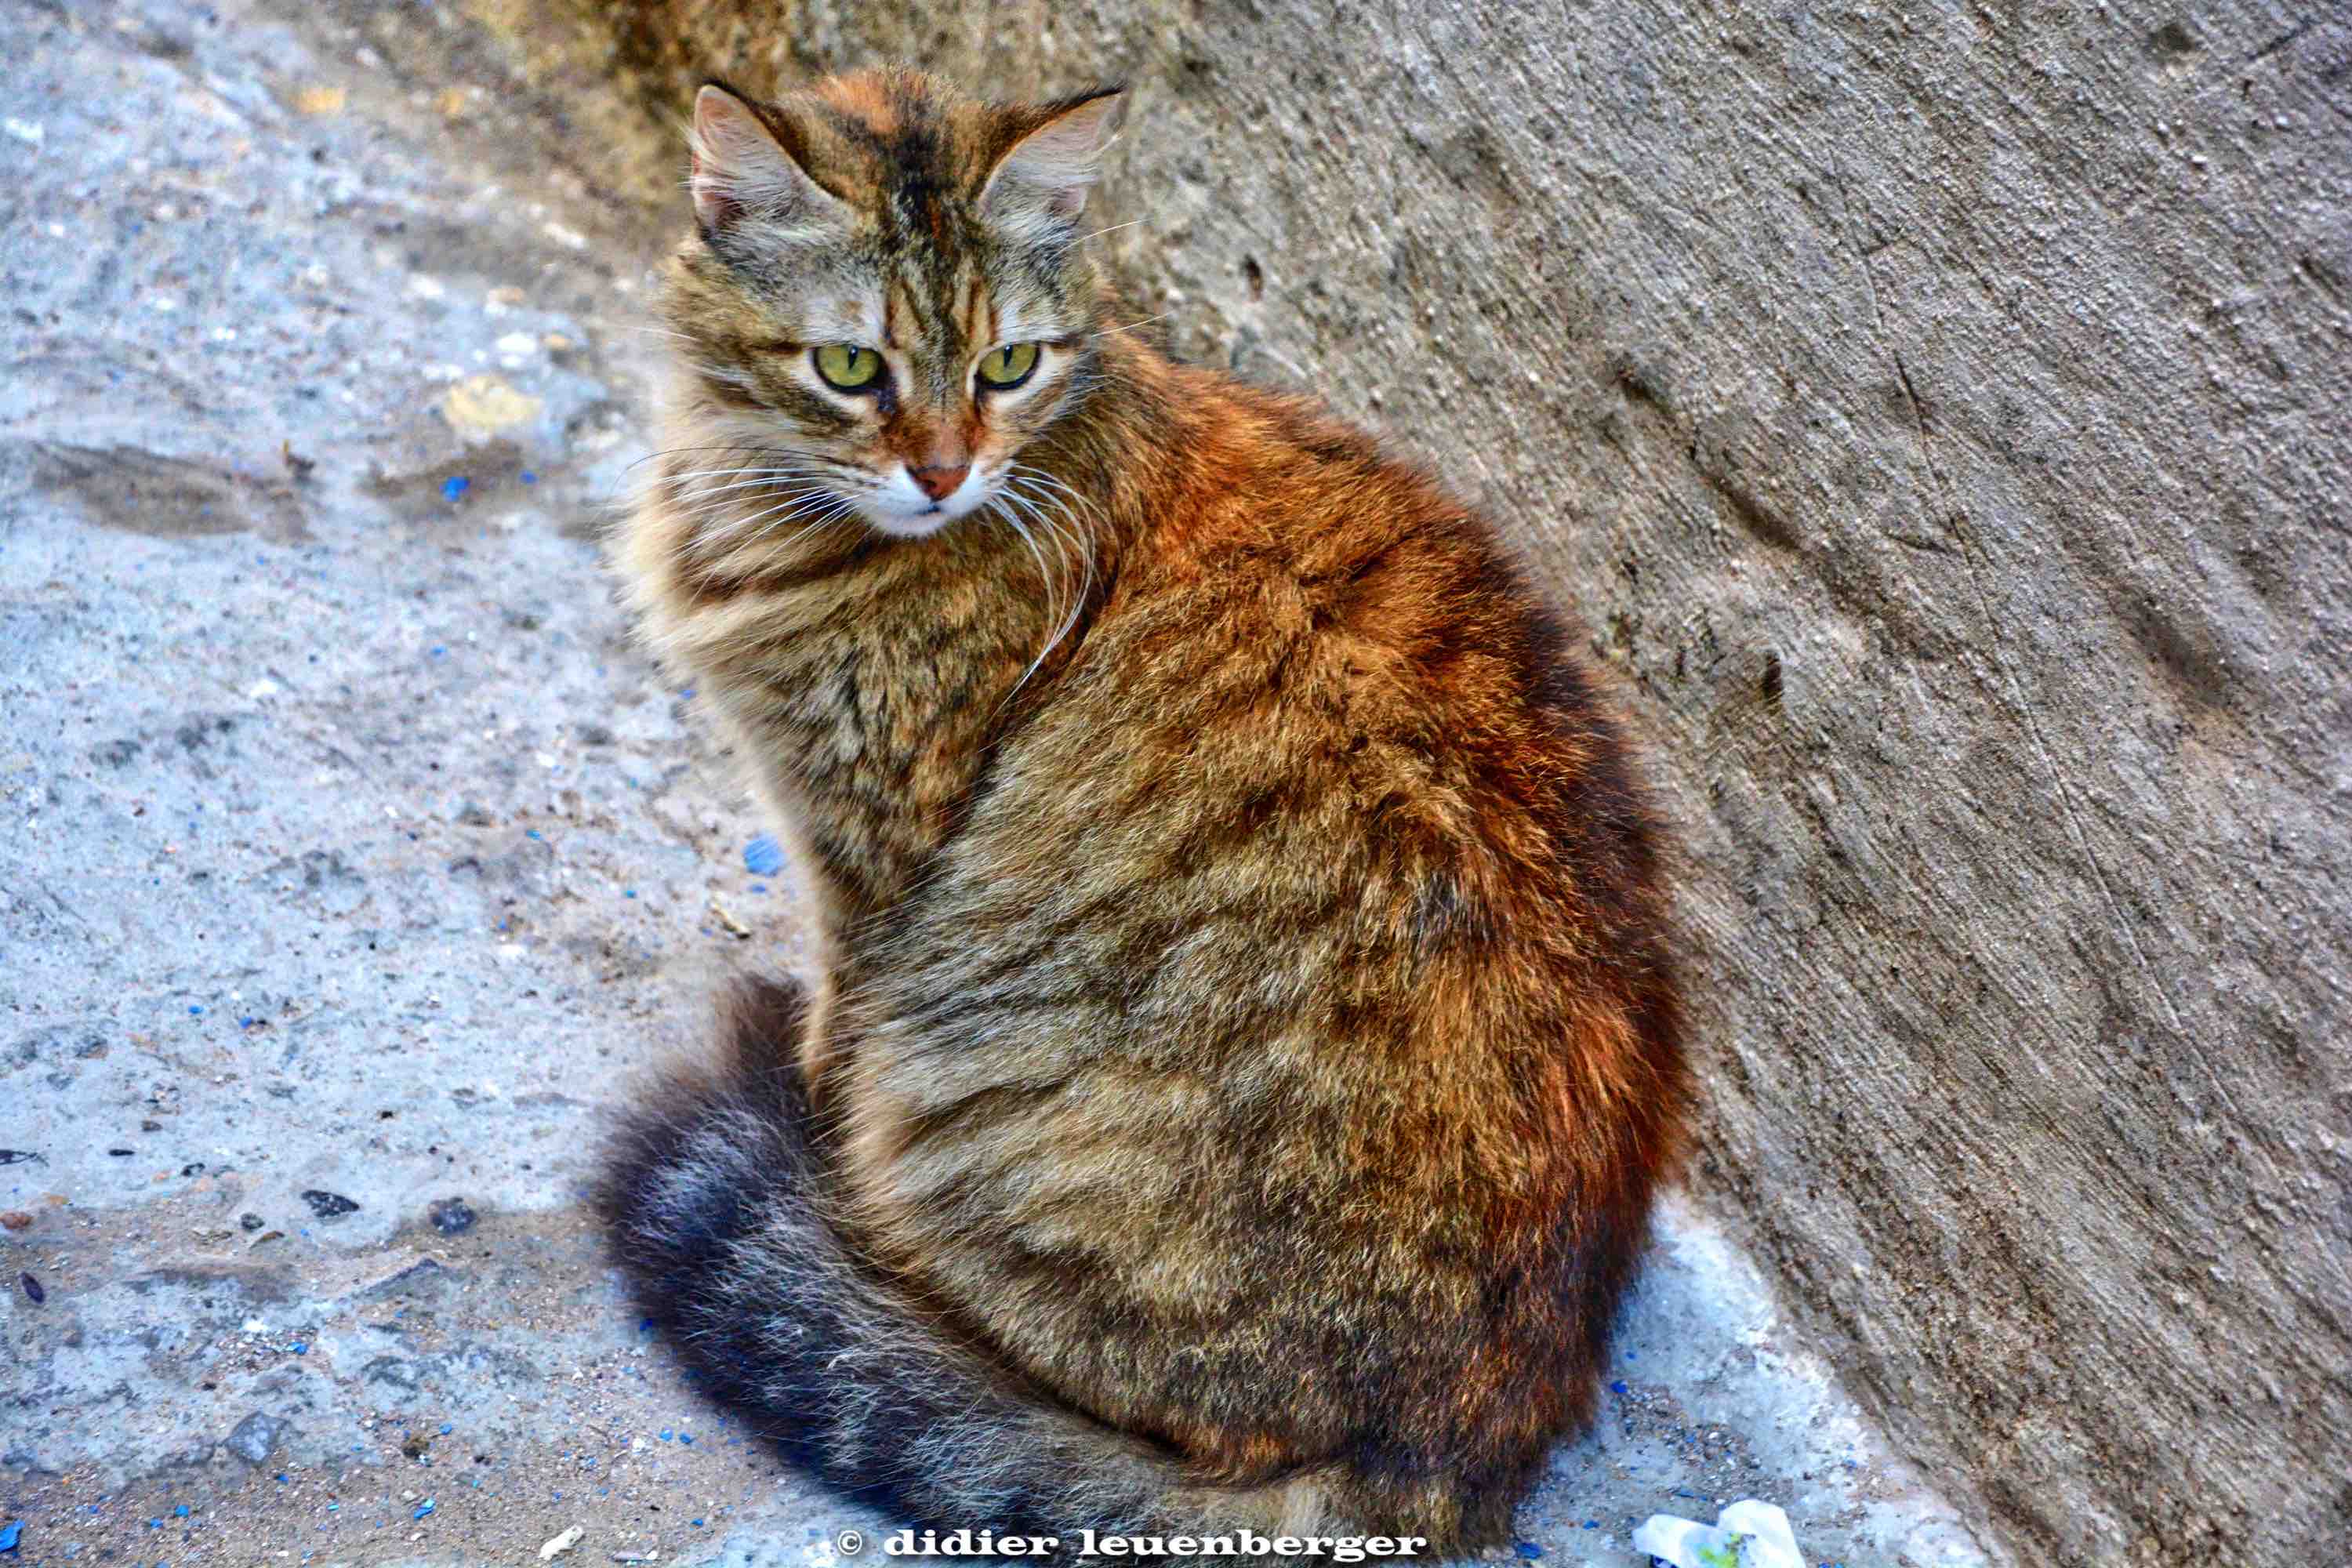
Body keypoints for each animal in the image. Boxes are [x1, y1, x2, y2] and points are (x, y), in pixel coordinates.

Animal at [597, 67, 1684, 1561]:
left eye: (1007, 368)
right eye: (852, 371)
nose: (943, 474)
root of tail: (1444, 1463)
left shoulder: (869, 855)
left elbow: (831, 1026)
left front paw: (803, 1115)